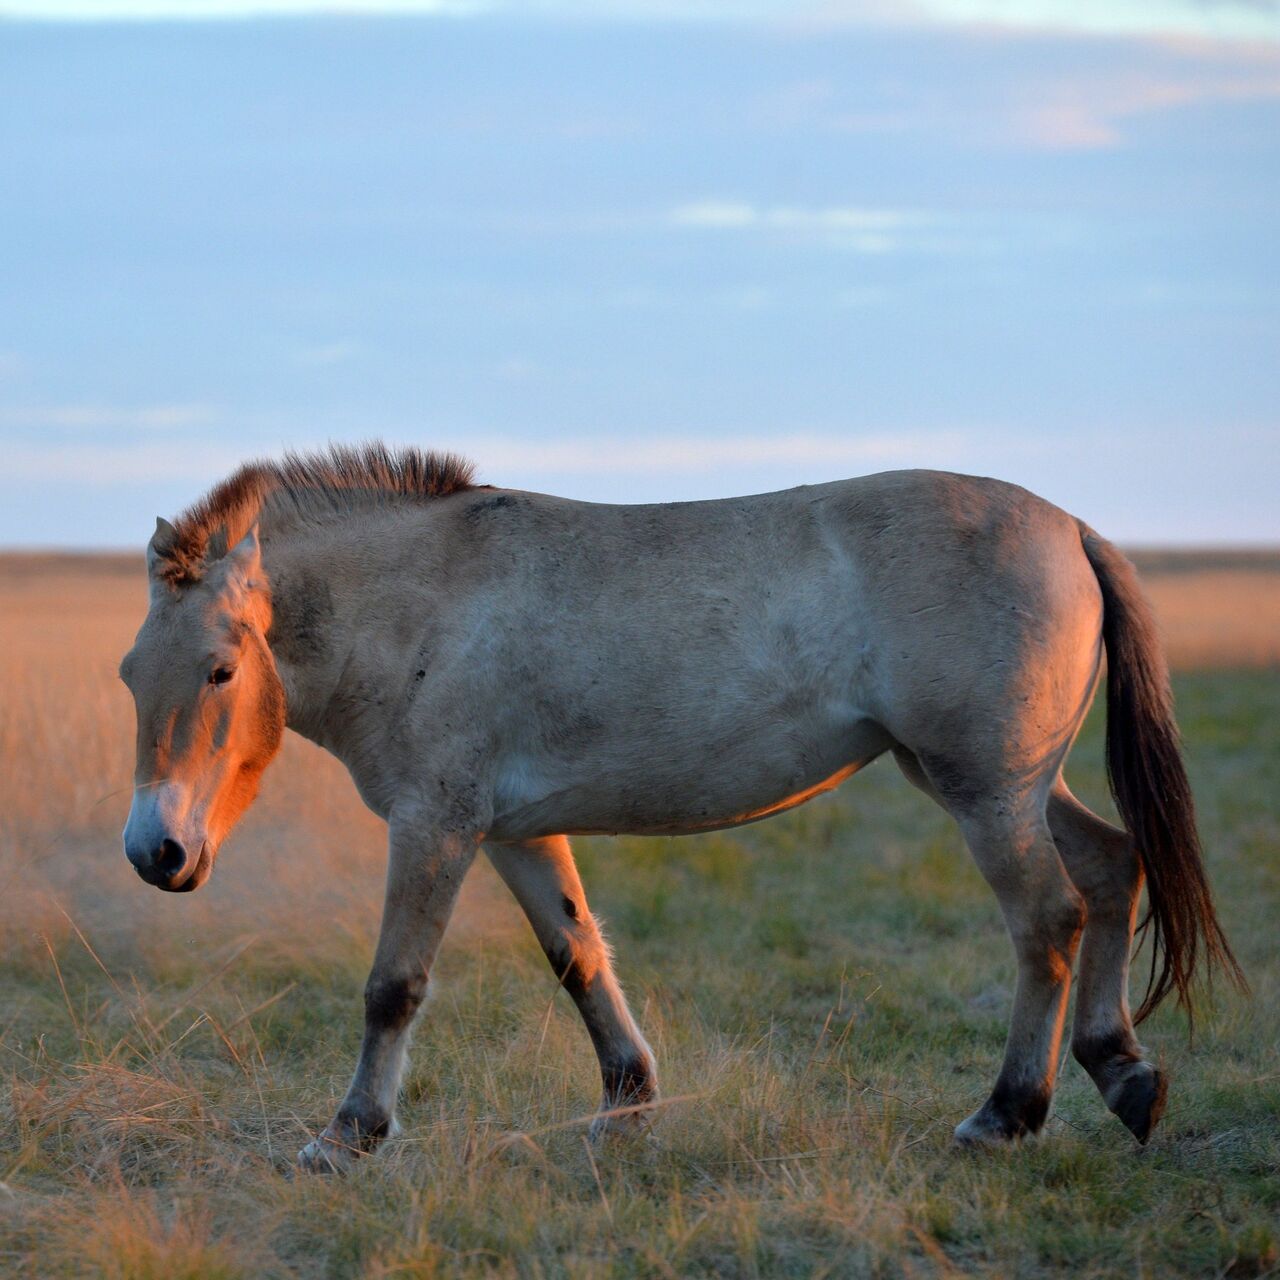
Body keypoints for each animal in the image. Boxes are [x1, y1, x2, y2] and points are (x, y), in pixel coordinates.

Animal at [117, 448, 1239, 1172]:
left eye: (220, 669)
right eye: (132, 672)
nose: (154, 851)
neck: (425, 599)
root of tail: (1071, 529)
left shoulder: (434, 826)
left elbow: (393, 986)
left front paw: (346, 1134)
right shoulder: (515, 833)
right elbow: (579, 957)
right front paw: (627, 1105)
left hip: (986, 794)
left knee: (1048, 919)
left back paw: (1005, 1116)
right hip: (1005, 784)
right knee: (1111, 868)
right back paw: (1121, 1073)